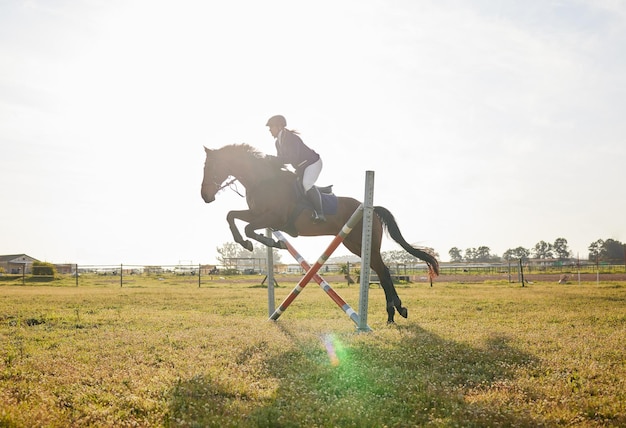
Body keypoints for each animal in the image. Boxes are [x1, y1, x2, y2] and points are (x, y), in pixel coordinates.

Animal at [202, 142, 436, 322]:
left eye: (211, 166)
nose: (205, 196)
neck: (262, 181)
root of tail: (370, 207)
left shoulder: (275, 218)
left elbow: (248, 227)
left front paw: (265, 243)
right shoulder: (256, 214)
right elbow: (231, 216)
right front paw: (249, 242)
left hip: (362, 243)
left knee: (384, 271)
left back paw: (397, 310)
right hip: (354, 244)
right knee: (380, 271)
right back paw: (393, 313)